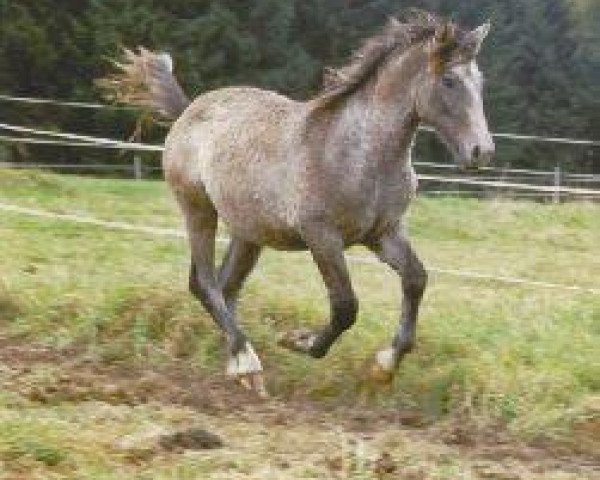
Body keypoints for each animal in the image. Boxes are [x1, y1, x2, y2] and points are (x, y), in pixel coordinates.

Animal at [103, 13, 494, 396]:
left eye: (480, 81)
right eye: (449, 81)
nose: (481, 152)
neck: (358, 152)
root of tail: (188, 111)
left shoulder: (383, 233)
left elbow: (415, 279)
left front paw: (383, 367)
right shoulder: (321, 235)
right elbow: (345, 306)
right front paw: (299, 341)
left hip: (248, 233)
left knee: (226, 286)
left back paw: (236, 367)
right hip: (198, 210)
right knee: (204, 283)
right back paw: (247, 362)